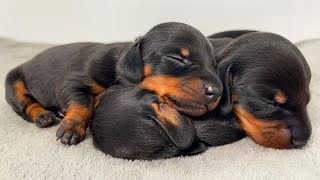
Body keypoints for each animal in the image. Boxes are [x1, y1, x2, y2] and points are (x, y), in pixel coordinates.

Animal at [6, 21, 224, 145]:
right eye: (176, 58)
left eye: (214, 64)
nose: (218, 91)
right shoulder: (72, 82)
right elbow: (82, 103)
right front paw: (73, 127)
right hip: (12, 81)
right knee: (25, 104)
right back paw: (43, 116)